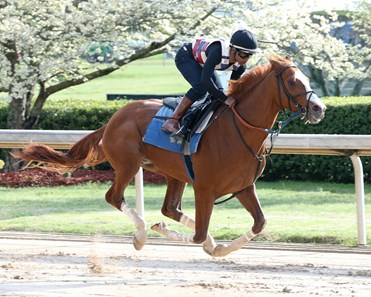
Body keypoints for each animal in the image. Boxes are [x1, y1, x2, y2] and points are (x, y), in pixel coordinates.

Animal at [13, 56, 326, 256]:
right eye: (293, 81)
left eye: (306, 78)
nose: (319, 109)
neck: (238, 129)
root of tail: (115, 116)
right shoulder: (205, 188)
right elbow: (197, 233)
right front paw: (198, 240)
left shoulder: (243, 187)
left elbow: (259, 223)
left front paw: (220, 247)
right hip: (128, 164)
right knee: (115, 197)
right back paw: (141, 235)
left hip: (174, 173)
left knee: (169, 208)